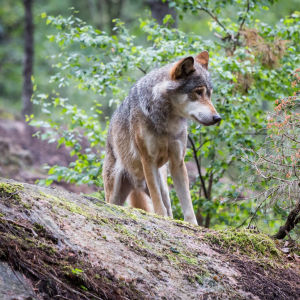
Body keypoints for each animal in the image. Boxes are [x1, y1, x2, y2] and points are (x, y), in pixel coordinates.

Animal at [102, 52, 220, 225]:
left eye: (209, 94)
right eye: (198, 92)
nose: (218, 118)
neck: (167, 123)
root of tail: (136, 184)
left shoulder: (178, 161)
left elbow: (187, 202)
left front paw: (192, 224)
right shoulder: (148, 159)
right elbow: (157, 199)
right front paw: (160, 216)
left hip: (163, 185)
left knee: (168, 206)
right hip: (114, 195)